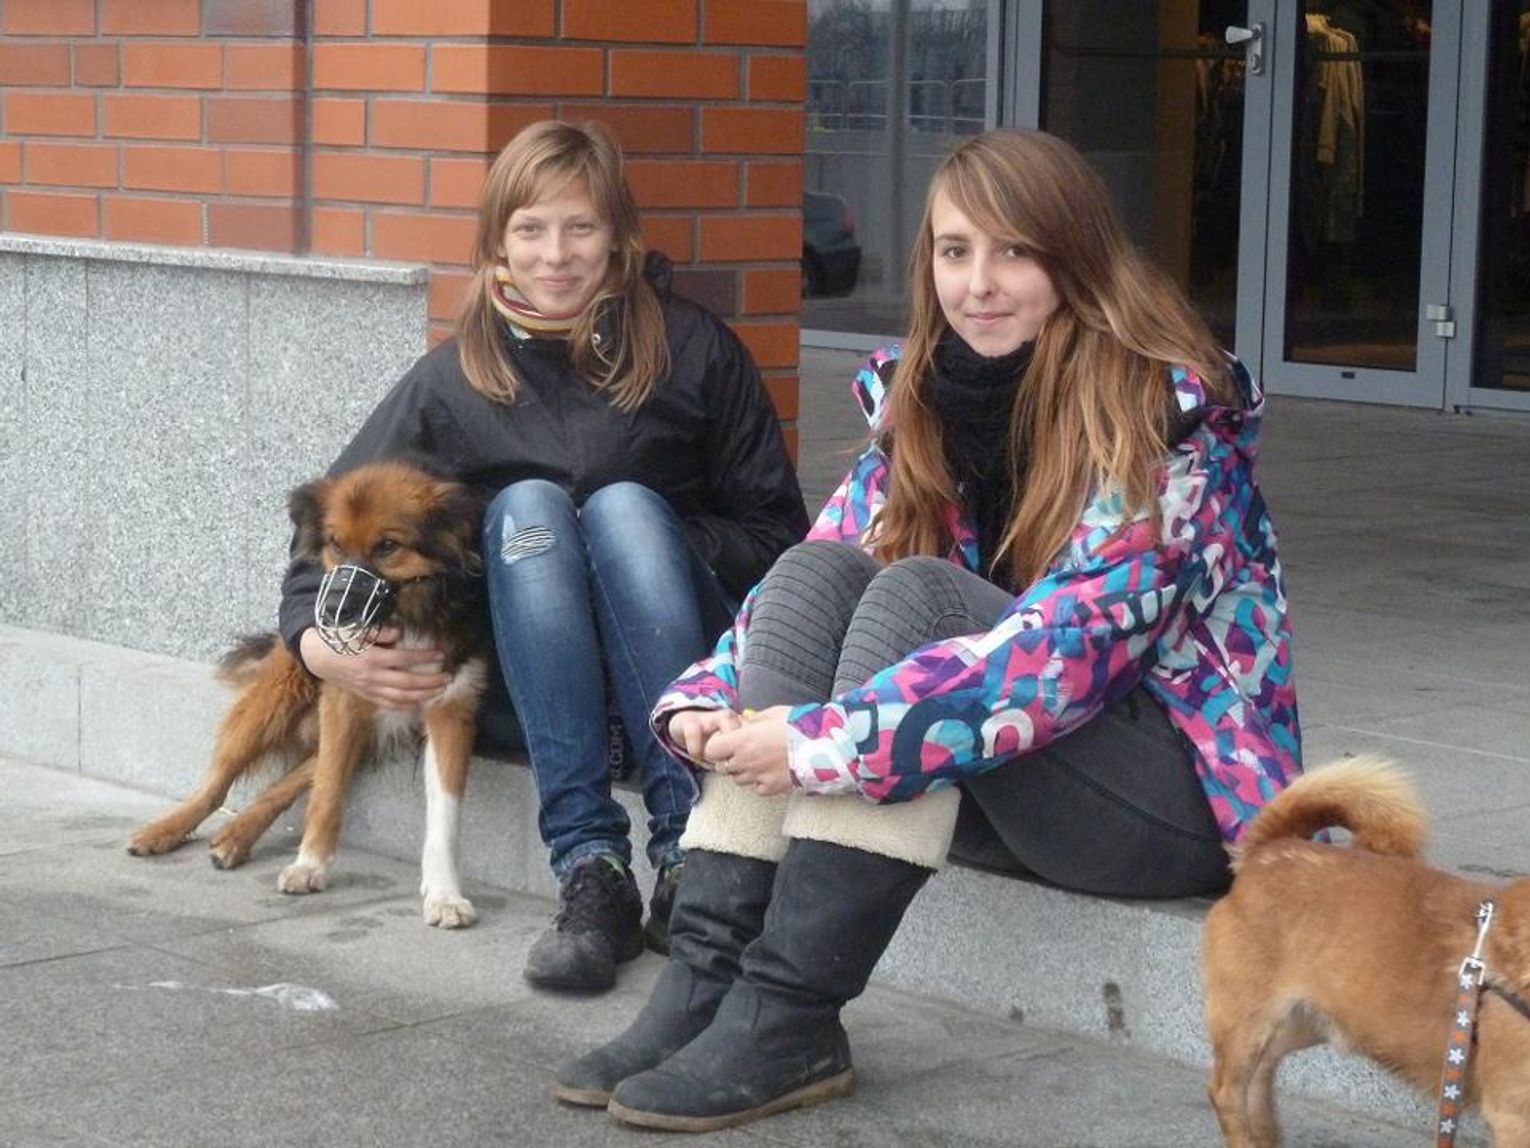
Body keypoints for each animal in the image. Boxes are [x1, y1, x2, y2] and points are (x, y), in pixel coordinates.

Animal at [127, 459, 489, 928]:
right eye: (335, 543)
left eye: (388, 546)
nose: (331, 608)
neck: (406, 619)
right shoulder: (344, 697)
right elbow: (327, 792)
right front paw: (309, 865)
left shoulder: (451, 708)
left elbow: (444, 815)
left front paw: (444, 895)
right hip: (279, 698)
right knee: (216, 783)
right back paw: (165, 830)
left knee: (290, 780)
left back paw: (235, 835)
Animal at [1202, 756, 1530, 1146]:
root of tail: (1269, 850)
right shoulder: (1514, 1118)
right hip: (1248, 1020)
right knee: (1227, 1092)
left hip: (1307, 1021)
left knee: (1261, 1076)